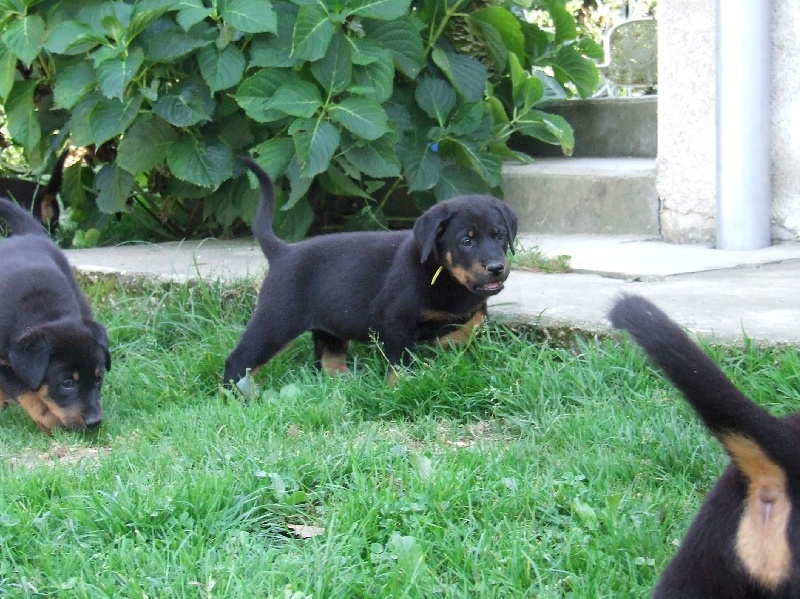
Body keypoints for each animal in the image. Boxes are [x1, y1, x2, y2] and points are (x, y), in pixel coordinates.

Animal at [0, 199, 110, 434]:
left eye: (98, 379)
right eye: (67, 383)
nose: (94, 422)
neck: (46, 315)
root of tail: (30, 235)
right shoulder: (4, 364)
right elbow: (27, 393)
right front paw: (51, 423)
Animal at [223, 158, 520, 390]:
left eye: (499, 236)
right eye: (466, 241)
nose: (496, 268)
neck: (446, 276)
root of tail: (282, 251)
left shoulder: (472, 307)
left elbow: (476, 320)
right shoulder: (397, 321)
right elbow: (400, 362)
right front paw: (400, 388)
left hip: (330, 327)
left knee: (329, 362)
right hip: (276, 321)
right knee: (239, 361)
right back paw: (241, 397)